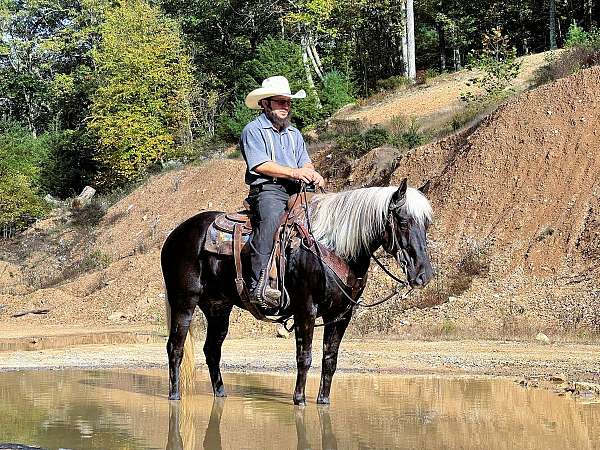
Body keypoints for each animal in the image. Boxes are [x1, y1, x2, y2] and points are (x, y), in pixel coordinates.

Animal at [162, 178, 434, 404]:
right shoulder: (306, 309)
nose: (424, 274)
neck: (333, 246)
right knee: (175, 347)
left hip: (218, 308)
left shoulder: (341, 315)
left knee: (212, 350)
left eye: (426, 224)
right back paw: (174, 395)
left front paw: (323, 401)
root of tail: (175, 235)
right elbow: (305, 357)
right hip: (184, 301)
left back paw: (220, 393)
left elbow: (330, 359)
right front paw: (299, 400)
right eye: (402, 221)